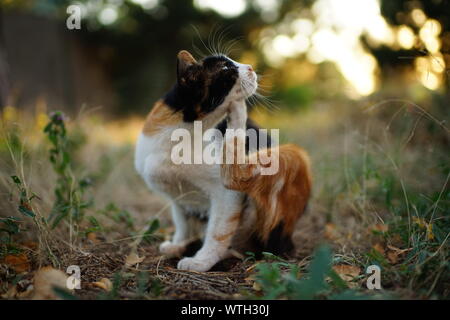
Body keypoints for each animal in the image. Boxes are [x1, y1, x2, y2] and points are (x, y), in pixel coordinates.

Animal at [133, 49, 310, 270]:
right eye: (226, 68)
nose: (250, 67)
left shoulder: (226, 194)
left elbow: (218, 232)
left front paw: (201, 261)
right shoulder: (178, 198)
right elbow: (182, 223)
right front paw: (179, 242)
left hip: (283, 160)